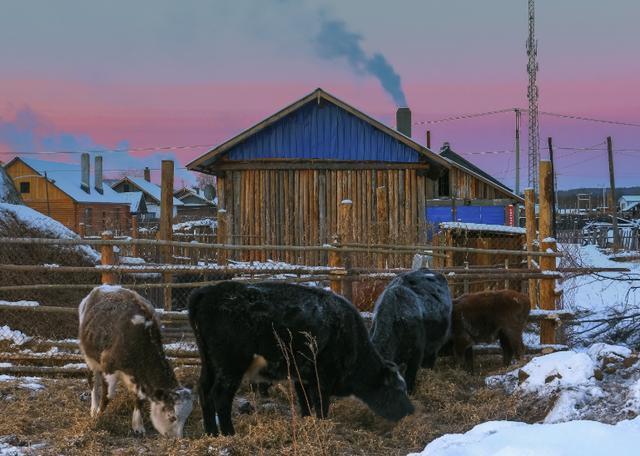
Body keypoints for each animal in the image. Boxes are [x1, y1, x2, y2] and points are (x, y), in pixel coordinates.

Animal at [79, 284, 192, 438]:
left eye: (185, 418)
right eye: (172, 417)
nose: (178, 439)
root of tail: (104, 287)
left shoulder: (138, 377)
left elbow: (139, 398)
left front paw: (138, 426)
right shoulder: (109, 368)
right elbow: (107, 396)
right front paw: (99, 417)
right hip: (90, 359)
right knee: (93, 383)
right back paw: (93, 409)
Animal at [186, 282, 416, 434]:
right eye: (398, 389)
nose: (410, 411)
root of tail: (206, 291)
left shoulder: (301, 375)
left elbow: (305, 402)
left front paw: (308, 421)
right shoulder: (323, 377)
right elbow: (321, 404)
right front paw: (322, 425)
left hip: (210, 363)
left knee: (204, 391)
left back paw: (211, 432)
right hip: (231, 366)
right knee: (220, 396)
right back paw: (228, 433)